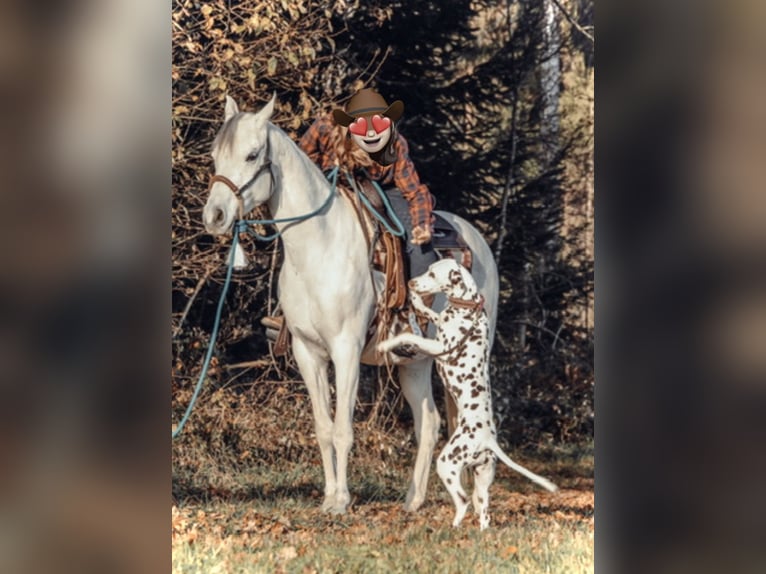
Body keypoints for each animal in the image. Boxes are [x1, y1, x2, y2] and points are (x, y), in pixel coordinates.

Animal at [201, 94, 499, 514]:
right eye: (215, 154)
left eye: (252, 154)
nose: (214, 216)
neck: (318, 246)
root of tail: (477, 241)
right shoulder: (307, 352)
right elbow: (324, 428)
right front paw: (329, 496)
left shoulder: (346, 350)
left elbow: (343, 429)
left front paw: (341, 500)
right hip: (416, 362)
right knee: (429, 422)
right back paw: (413, 499)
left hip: (472, 356)